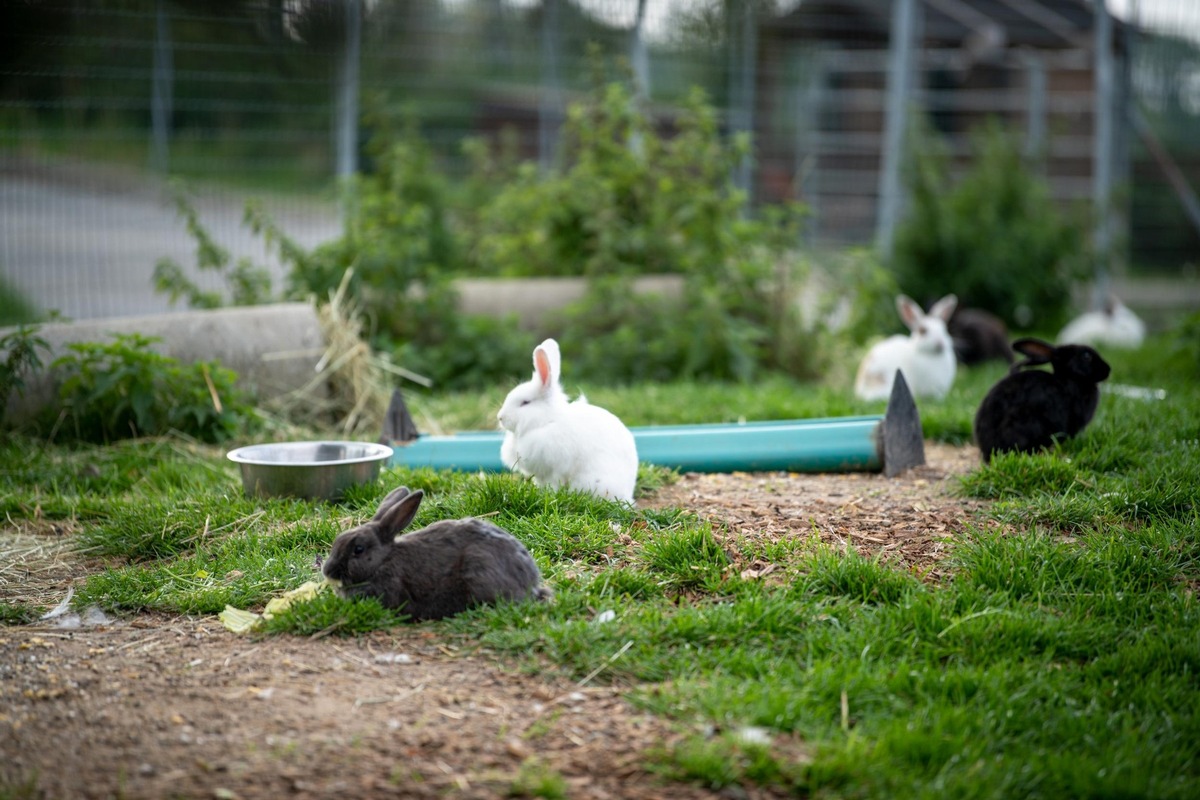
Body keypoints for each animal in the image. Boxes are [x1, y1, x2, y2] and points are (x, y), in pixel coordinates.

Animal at [494, 340, 638, 503]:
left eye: (525, 402)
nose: (500, 417)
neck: (547, 422)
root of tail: (627, 496)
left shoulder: (554, 469)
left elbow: (553, 484)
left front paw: (549, 495)